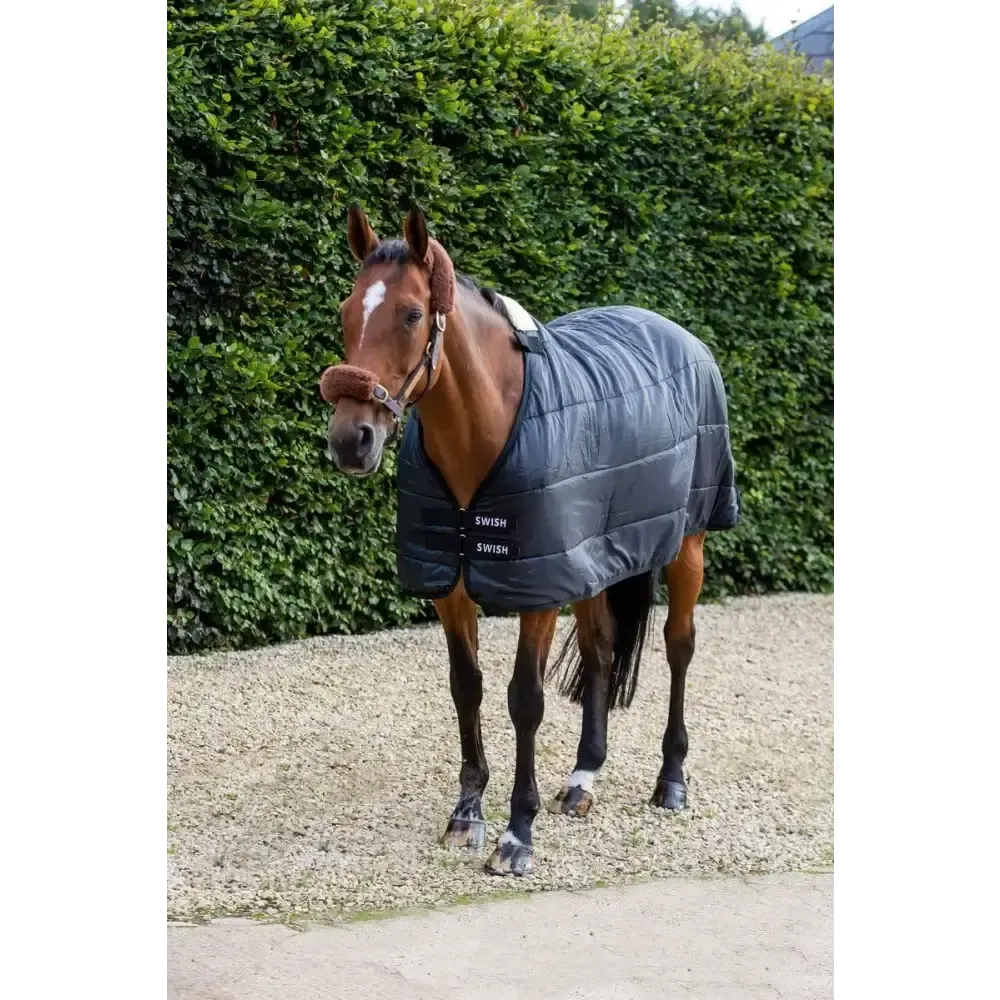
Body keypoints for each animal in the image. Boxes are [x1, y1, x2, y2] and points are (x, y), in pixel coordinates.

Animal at [320, 206, 739, 876]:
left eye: (411, 314)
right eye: (346, 311)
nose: (350, 440)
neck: (488, 430)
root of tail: (680, 335)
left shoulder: (537, 591)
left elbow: (525, 700)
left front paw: (517, 834)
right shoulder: (455, 586)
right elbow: (466, 687)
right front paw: (467, 815)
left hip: (688, 544)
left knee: (679, 646)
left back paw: (671, 779)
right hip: (594, 560)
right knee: (601, 649)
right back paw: (583, 778)